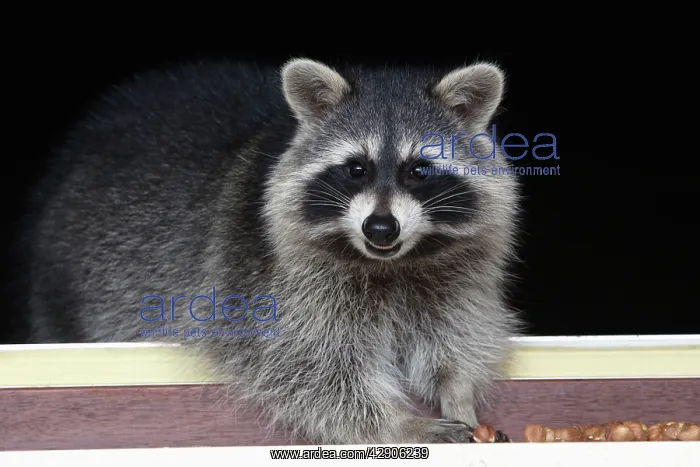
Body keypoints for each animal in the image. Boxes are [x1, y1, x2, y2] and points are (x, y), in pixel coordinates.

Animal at [22, 57, 521, 444]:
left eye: (418, 170)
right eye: (355, 169)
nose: (380, 228)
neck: (390, 263)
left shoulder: (458, 270)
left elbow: (456, 332)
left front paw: (459, 391)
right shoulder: (265, 282)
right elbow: (309, 370)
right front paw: (398, 424)